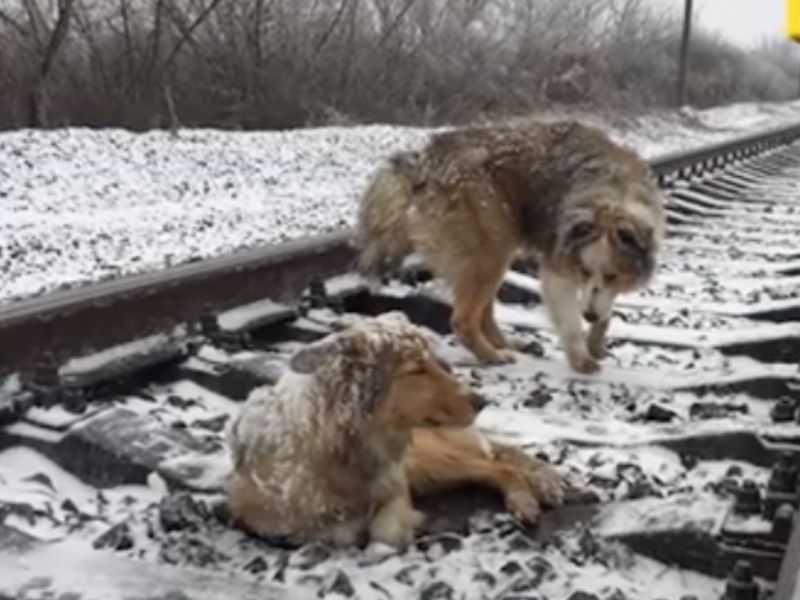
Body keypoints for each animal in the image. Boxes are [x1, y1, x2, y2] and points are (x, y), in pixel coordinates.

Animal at [225, 312, 564, 552]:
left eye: (436, 363)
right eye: (417, 370)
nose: (482, 401)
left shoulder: (397, 484)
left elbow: (384, 533)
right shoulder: (260, 516)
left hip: (427, 461)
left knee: (499, 465)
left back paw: (527, 498)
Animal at [354, 121, 664, 372]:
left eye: (612, 275)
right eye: (584, 272)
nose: (588, 314)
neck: (613, 195)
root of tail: (423, 162)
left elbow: (604, 307)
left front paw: (596, 340)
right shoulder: (558, 268)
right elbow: (570, 320)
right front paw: (580, 357)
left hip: (494, 249)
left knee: (484, 312)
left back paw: (508, 344)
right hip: (491, 250)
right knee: (463, 319)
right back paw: (491, 355)